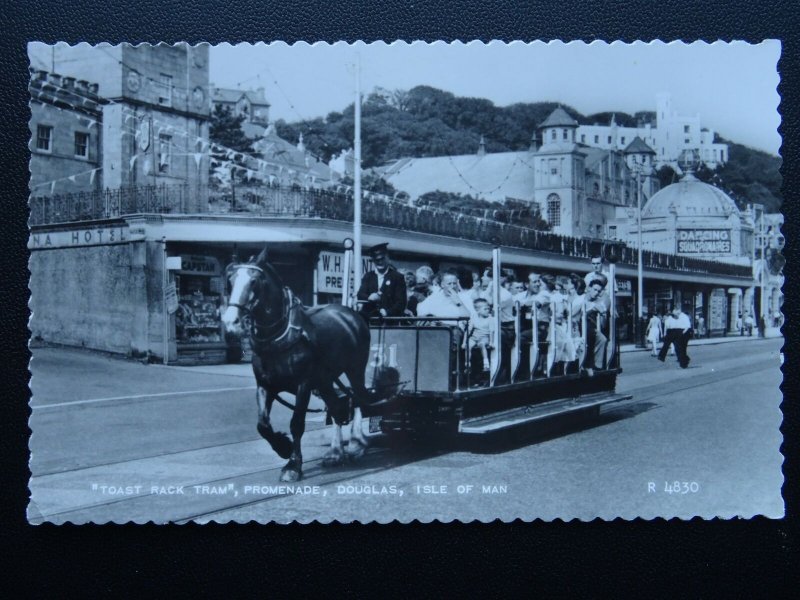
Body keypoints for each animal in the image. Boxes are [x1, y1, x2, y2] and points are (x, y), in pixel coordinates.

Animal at [220, 248, 374, 482]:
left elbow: (297, 424)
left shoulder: (304, 385)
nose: (231, 323)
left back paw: (357, 444)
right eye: (230, 281)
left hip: (355, 369)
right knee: (337, 408)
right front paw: (283, 447)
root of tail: (350, 313)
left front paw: (293, 465)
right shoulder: (265, 385)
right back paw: (335, 453)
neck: (280, 337)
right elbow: (262, 424)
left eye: (254, 281)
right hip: (325, 380)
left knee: (358, 399)